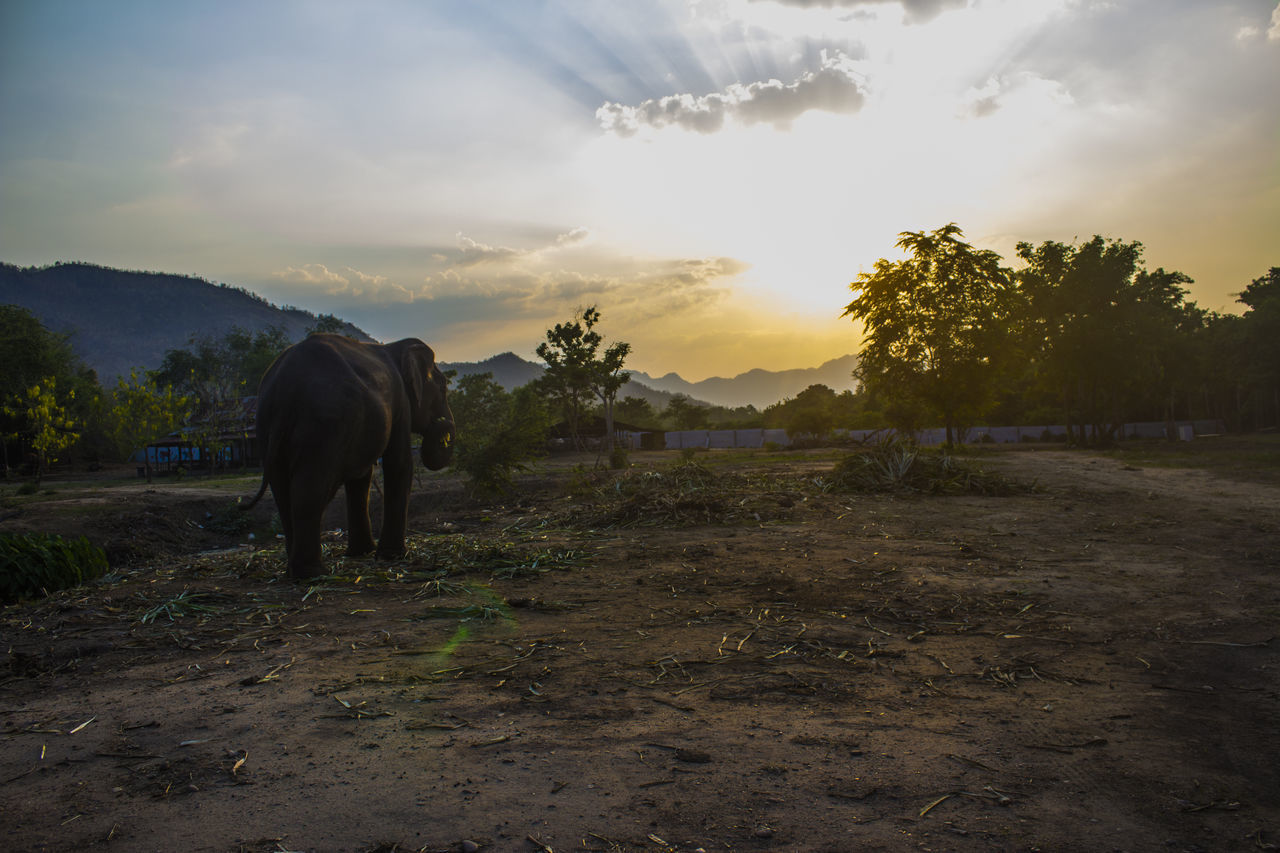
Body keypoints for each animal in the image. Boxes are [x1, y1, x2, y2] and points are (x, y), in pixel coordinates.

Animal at [245, 333, 455, 578]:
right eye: (443, 388)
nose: (442, 424)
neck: (396, 348)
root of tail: (282, 390)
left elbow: (362, 477)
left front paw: (363, 553)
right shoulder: (400, 402)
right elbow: (399, 463)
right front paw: (392, 556)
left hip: (267, 429)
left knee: (282, 491)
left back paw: (295, 569)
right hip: (324, 424)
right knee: (309, 489)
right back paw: (312, 572)